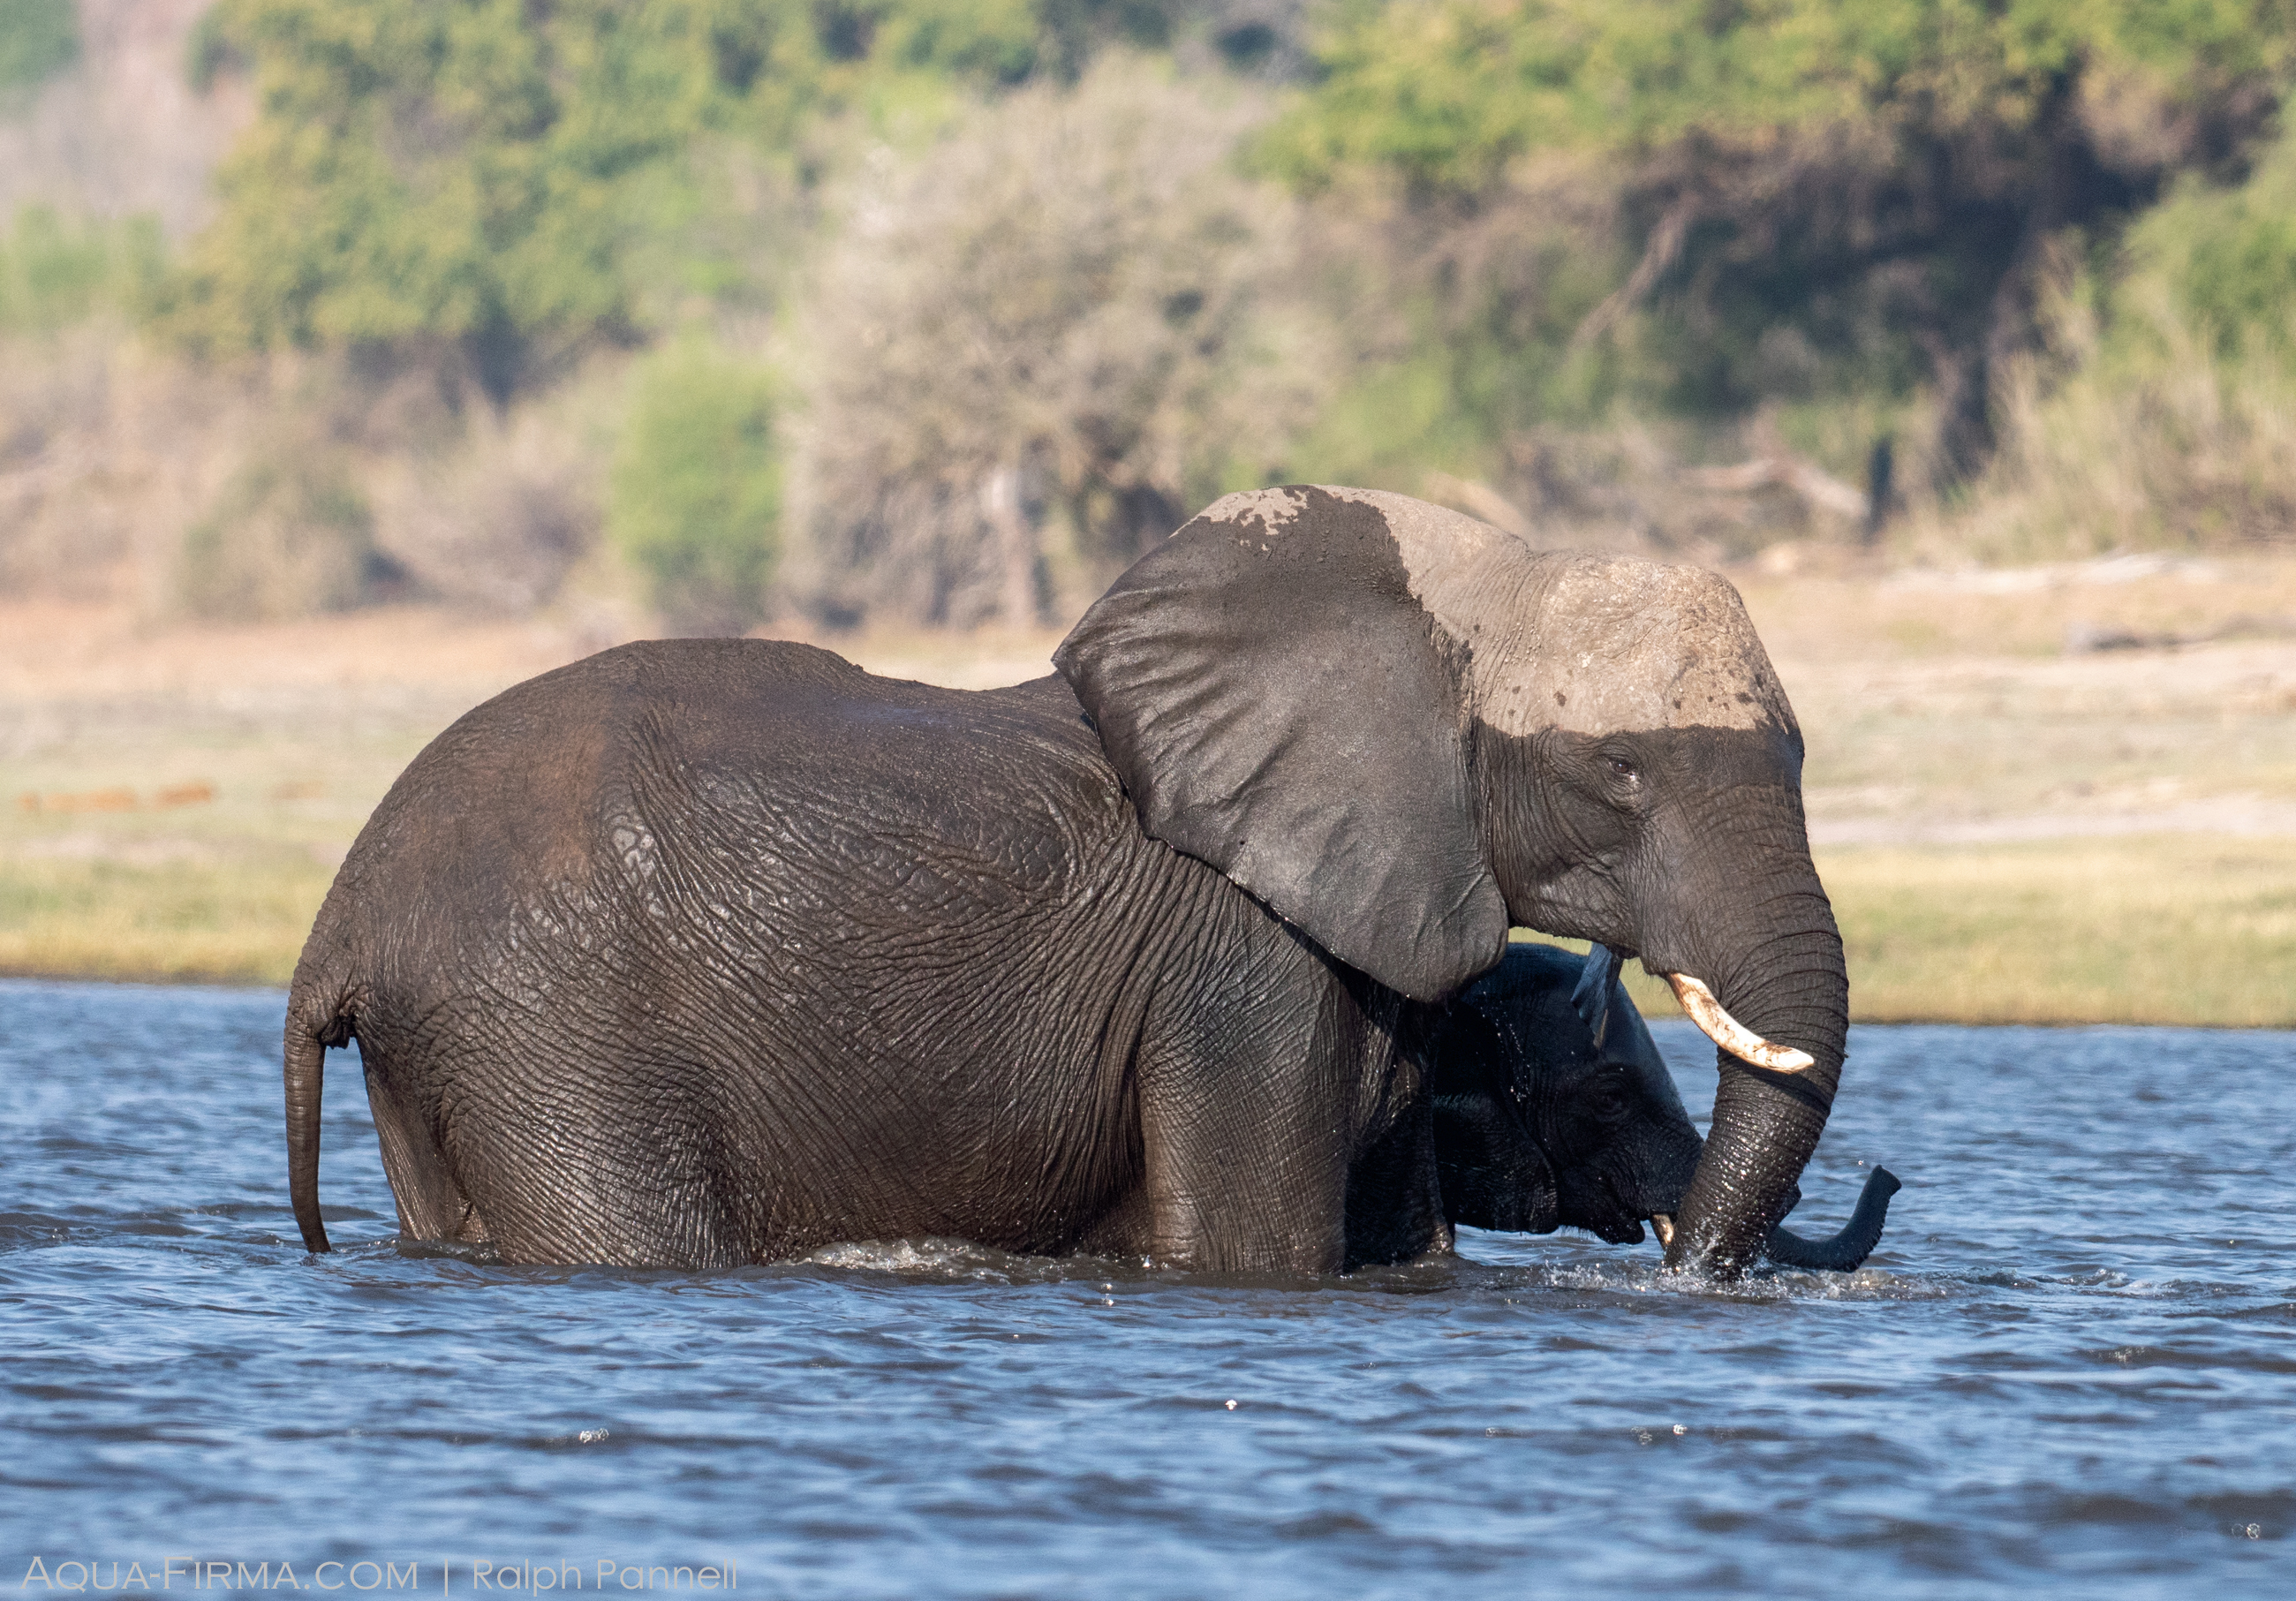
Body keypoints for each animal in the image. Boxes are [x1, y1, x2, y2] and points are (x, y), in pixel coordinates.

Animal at [286, 485, 1851, 1277]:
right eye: (1623, 771)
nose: (1683, 1269)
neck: (1469, 593)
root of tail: (336, 923)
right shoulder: (1246, 966)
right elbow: (1255, 1249)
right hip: (549, 1026)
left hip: (458, 1049)